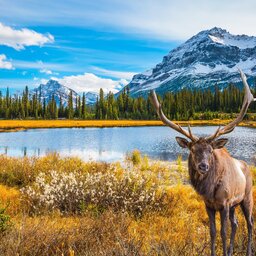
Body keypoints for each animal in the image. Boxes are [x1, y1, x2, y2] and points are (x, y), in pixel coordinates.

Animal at [151, 68, 255, 256]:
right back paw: (231, 250)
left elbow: (223, 232)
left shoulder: (225, 203)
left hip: (246, 197)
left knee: (250, 223)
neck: (210, 190)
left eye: (210, 151)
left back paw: (249, 251)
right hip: (235, 205)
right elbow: (213, 232)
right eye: (192, 150)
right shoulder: (209, 205)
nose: (203, 166)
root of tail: (247, 167)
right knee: (236, 224)